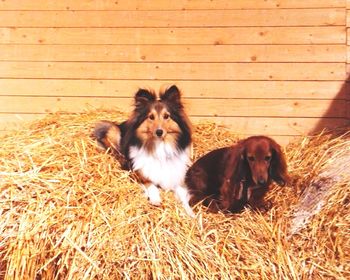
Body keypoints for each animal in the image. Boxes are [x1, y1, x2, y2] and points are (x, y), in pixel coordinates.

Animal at [93, 85, 194, 217]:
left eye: (167, 116)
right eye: (151, 117)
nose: (159, 132)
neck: (159, 147)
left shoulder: (176, 176)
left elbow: (182, 195)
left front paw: (190, 212)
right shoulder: (138, 172)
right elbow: (150, 184)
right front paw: (155, 199)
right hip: (112, 131)